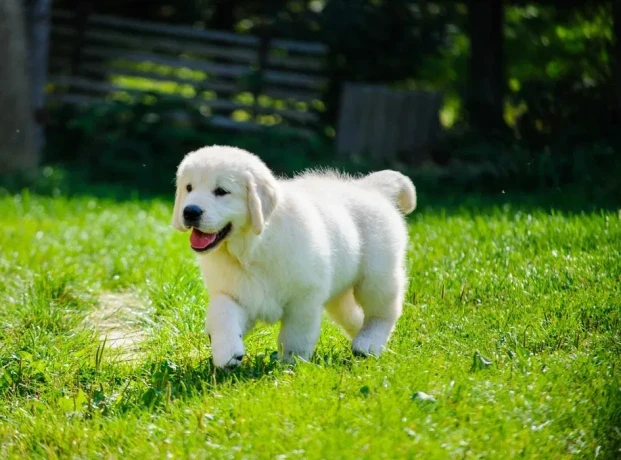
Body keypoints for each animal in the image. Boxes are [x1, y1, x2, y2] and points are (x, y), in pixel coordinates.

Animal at [172, 146, 414, 368]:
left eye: (221, 191)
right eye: (189, 188)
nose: (190, 211)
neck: (251, 248)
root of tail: (369, 188)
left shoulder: (304, 298)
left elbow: (295, 335)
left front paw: (291, 366)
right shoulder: (234, 292)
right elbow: (221, 313)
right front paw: (228, 353)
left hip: (377, 277)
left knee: (382, 312)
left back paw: (368, 344)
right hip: (341, 292)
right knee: (353, 316)